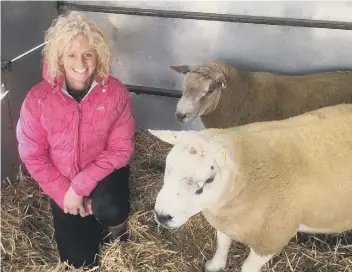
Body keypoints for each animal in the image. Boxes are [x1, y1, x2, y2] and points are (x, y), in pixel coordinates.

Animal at [148, 103, 352, 272]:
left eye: (209, 179)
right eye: (168, 165)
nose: (162, 215)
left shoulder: (271, 239)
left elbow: (247, 266)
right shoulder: (226, 219)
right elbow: (222, 243)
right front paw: (215, 265)